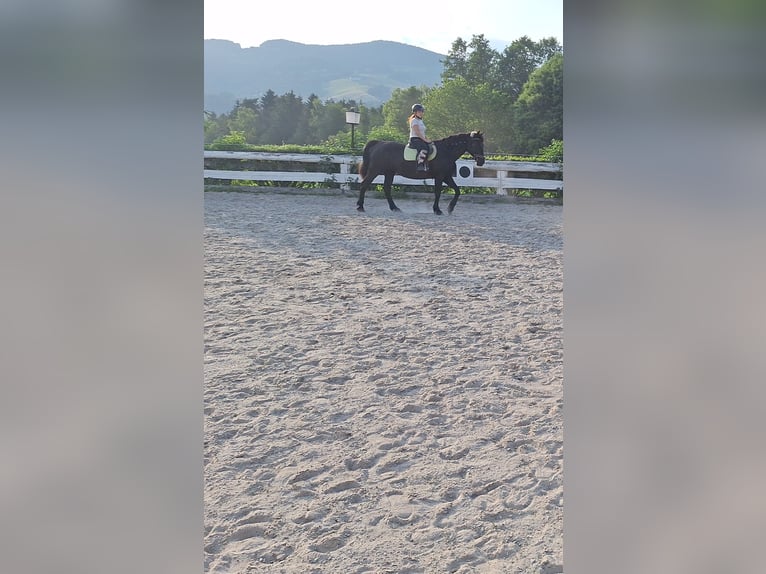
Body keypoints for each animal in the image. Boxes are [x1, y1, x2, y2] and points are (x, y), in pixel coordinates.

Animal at [356, 131, 486, 215]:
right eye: (475, 143)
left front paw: (450, 208)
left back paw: (395, 208)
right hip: (374, 171)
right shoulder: (439, 177)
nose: (481, 161)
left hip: (389, 173)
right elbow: (438, 192)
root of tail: (378, 144)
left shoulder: (447, 177)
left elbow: (457, 191)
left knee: (386, 188)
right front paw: (437, 210)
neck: (446, 151)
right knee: (364, 185)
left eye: (482, 144)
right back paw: (360, 207)